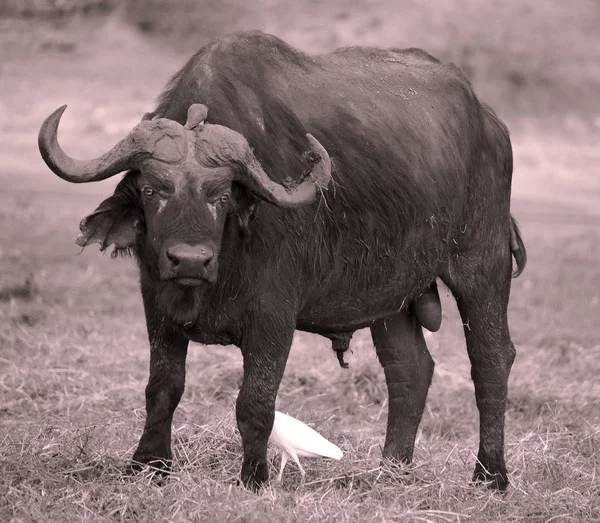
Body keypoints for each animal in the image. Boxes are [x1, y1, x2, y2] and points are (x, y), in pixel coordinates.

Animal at [37, 31, 524, 492]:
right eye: (152, 189)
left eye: (222, 195)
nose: (189, 261)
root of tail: (491, 124)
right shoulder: (157, 306)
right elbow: (162, 388)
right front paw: (149, 466)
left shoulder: (273, 317)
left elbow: (255, 401)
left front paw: (254, 477)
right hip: (393, 294)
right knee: (409, 369)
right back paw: (391, 470)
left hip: (482, 264)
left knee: (491, 360)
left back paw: (490, 476)